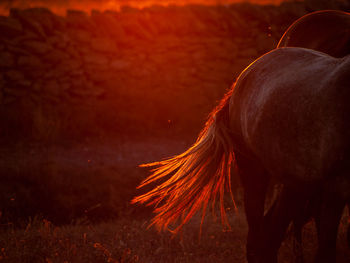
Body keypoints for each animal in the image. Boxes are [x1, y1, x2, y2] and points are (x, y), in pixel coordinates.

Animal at [133, 48, 350, 263]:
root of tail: (242, 78)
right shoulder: (335, 189)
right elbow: (326, 249)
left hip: (296, 184)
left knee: (271, 232)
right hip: (254, 171)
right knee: (259, 235)